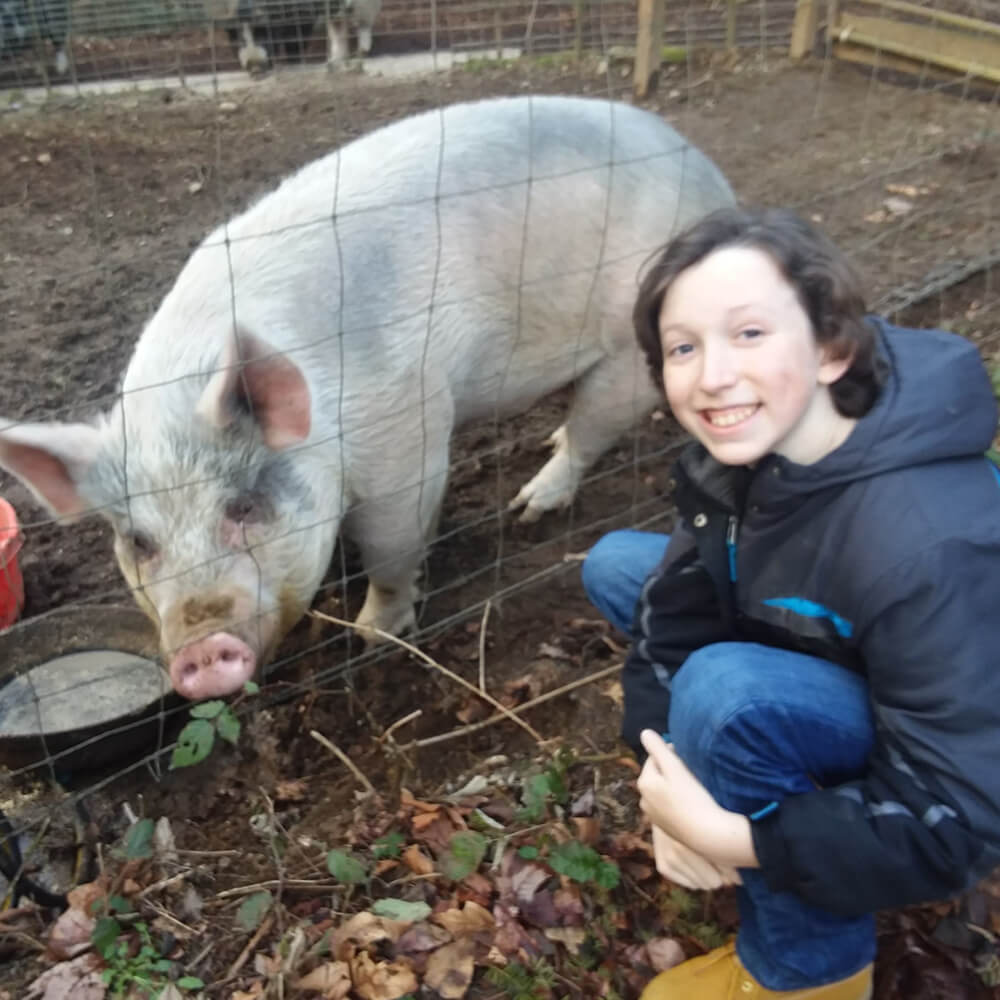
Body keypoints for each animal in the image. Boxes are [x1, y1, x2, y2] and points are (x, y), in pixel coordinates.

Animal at [0, 95, 735, 701]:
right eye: (138, 541)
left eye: (244, 506)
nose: (203, 650)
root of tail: (705, 170)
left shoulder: (403, 431)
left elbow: (392, 546)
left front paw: (374, 634)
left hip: (639, 347)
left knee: (591, 432)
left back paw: (529, 506)